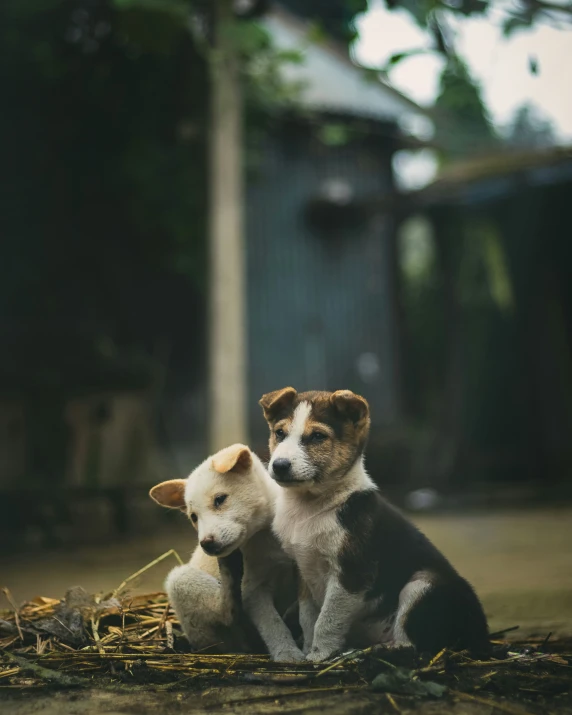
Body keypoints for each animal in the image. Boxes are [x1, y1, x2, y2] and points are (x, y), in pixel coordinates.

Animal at [150, 444, 306, 664]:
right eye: (193, 517)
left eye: (219, 499)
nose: (207, 543)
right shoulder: (254, 589)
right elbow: (272, 623)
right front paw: (287, 654)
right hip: (182, 585)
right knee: (225, 616)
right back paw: (229, 572)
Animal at [260, 388, 488, 664]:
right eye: (279, 433)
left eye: (317, 436)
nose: (279, 466)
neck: (310, 506)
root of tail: (484, 637)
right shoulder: (303, 569)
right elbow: (309, 618)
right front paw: (306, 651)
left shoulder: (352, 574)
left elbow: (327, 620)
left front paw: (320, 655)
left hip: (422, 583)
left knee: (415, 646)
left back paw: (382, 651)